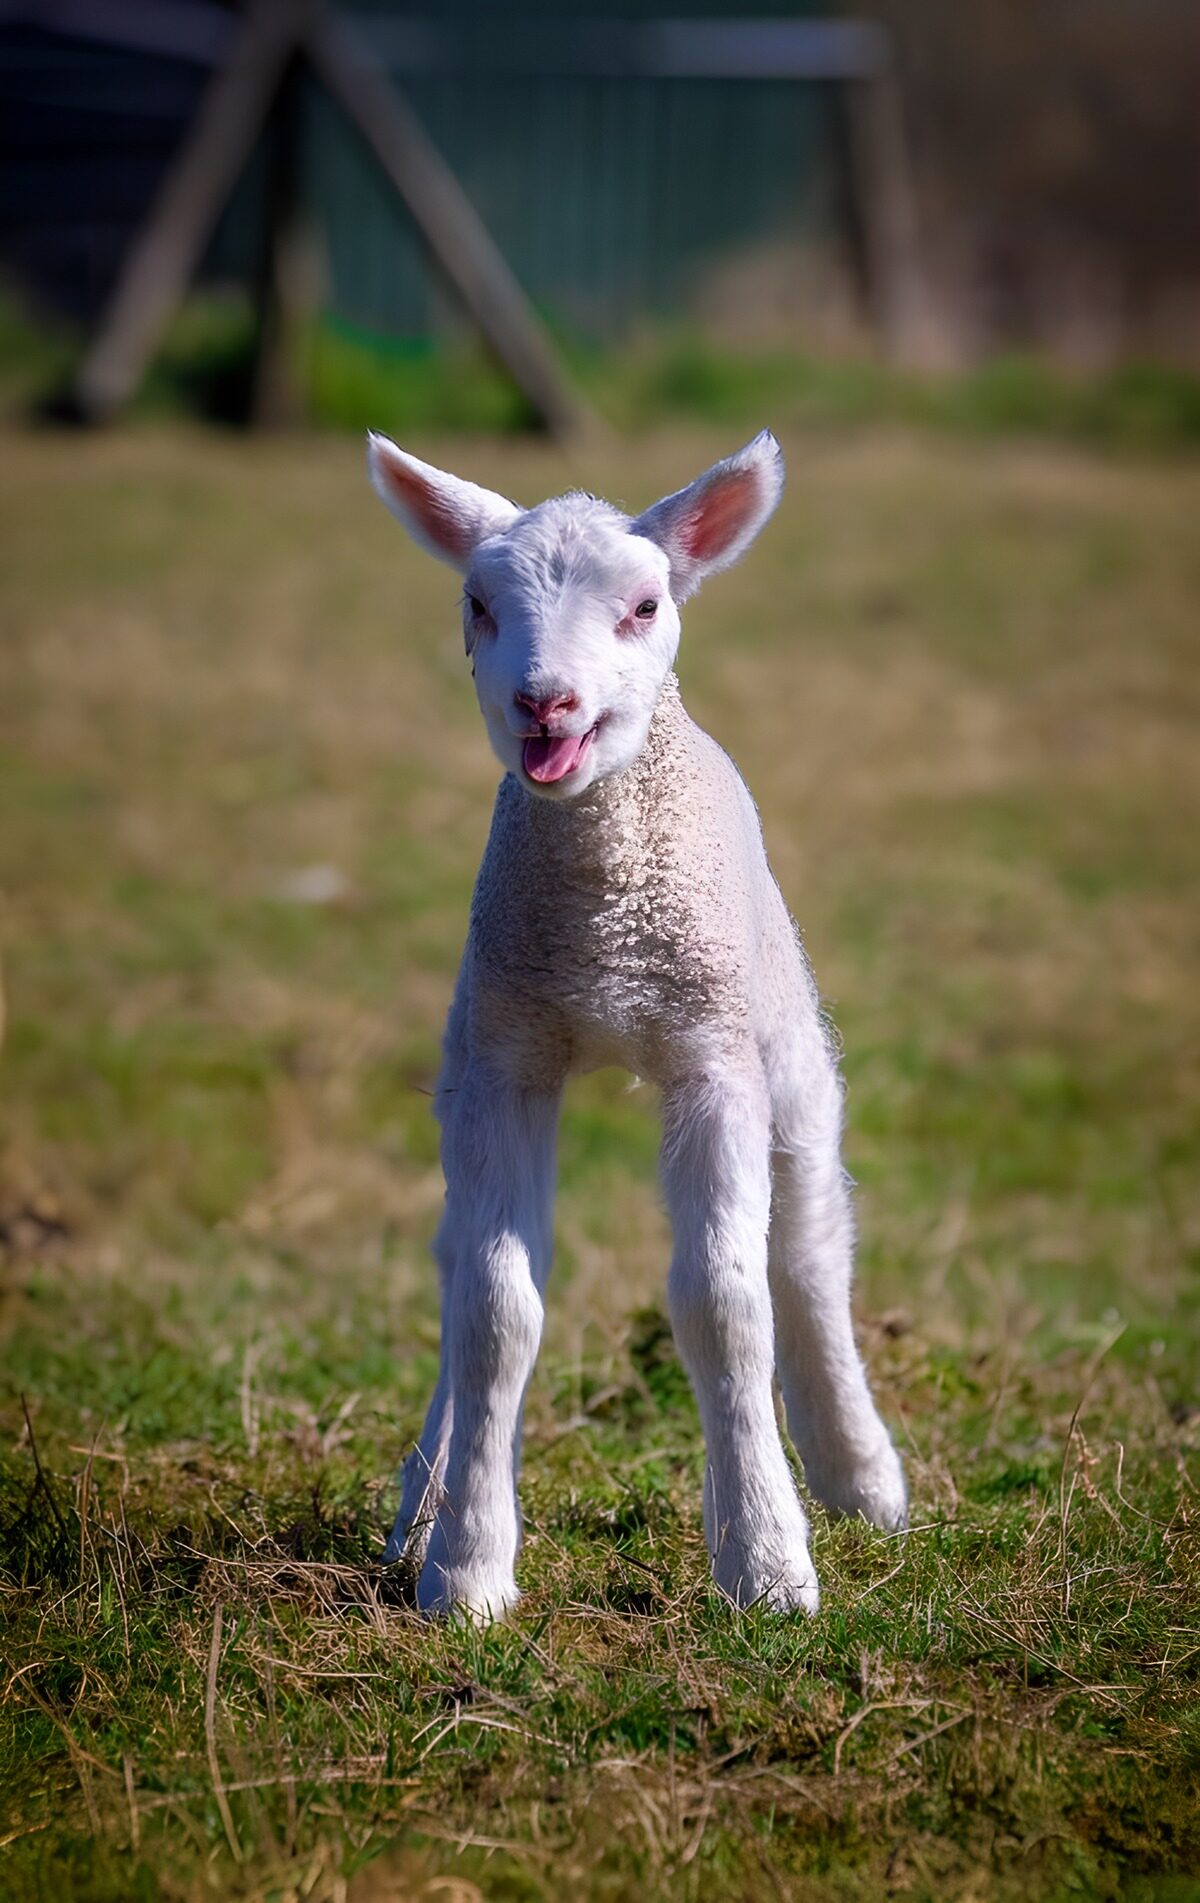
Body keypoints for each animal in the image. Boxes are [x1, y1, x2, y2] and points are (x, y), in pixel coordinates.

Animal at [367, 428, 907, 1622]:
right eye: (477, 602)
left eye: (646, 605)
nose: (546, 703)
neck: (605, 919)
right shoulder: (508, 1056)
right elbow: (495, 1307)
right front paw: (464, 1569)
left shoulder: (712, 1056)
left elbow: (724, 1299)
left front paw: (767, 1564)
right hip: (467, 1046)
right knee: (453, 1256)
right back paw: (422, 1495)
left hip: (784, 1037)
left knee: (809, 1249)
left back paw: (859, 1475)